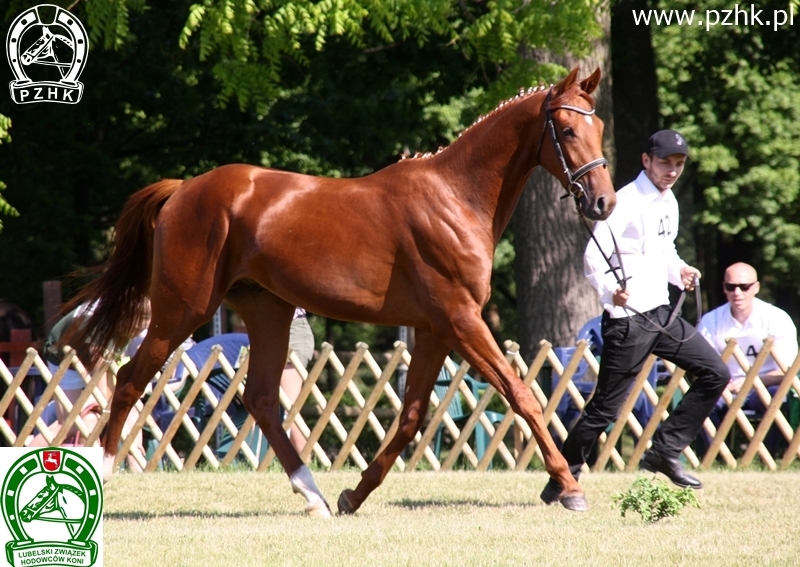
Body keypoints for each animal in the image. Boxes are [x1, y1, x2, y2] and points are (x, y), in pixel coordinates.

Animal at [69, 65, 616, 516]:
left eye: (599, 129)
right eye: (568, 130)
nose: (604, 202)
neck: (455, 198)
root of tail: (183, 189)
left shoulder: (435, 330)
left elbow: (412, 416)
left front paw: (353, 494)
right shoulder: (462, 321)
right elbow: (523, 396)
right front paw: (569, 488)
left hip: (268, 311)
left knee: (261, 399)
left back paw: (313, 495)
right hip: (180, 311)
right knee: (129, 380)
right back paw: (104, 472)